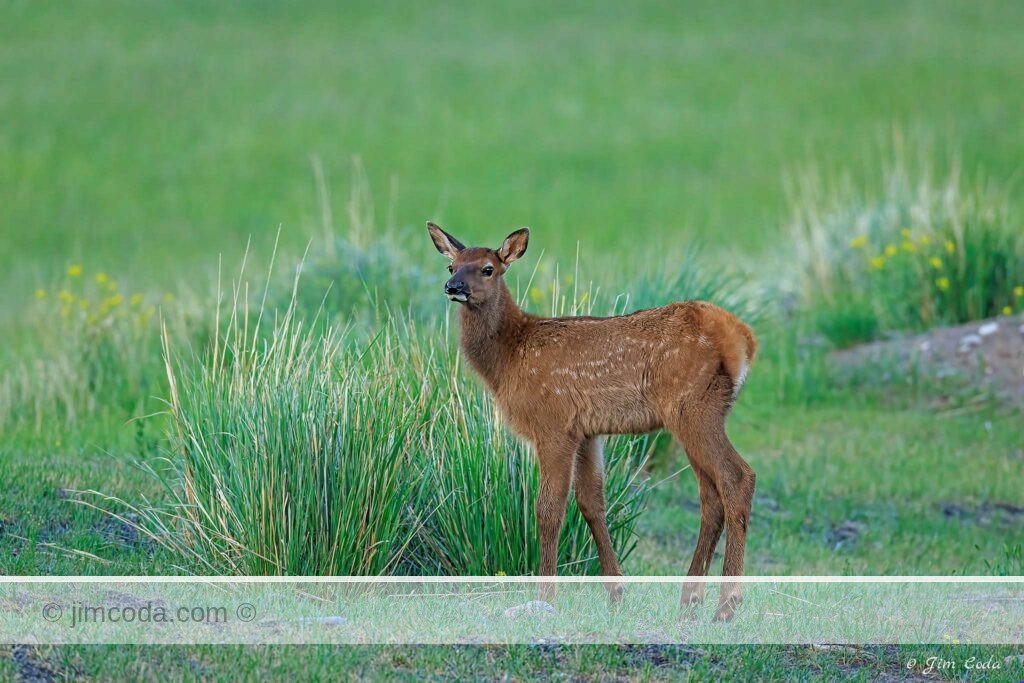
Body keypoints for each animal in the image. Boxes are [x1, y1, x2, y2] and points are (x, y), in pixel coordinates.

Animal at [427, 222, 758, 621]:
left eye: (488, 268)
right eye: (452, 266)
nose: (453, 287)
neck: (508, 359)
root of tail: (742, 339)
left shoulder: (553, 424)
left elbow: (549, 509)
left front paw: (546, 597)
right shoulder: (586, 432)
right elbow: (591, 503)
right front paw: (616, 592)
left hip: (694, 406)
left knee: (736, 477)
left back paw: (726, 605)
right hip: (696, 414)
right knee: (711, 496)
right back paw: (690, 599)